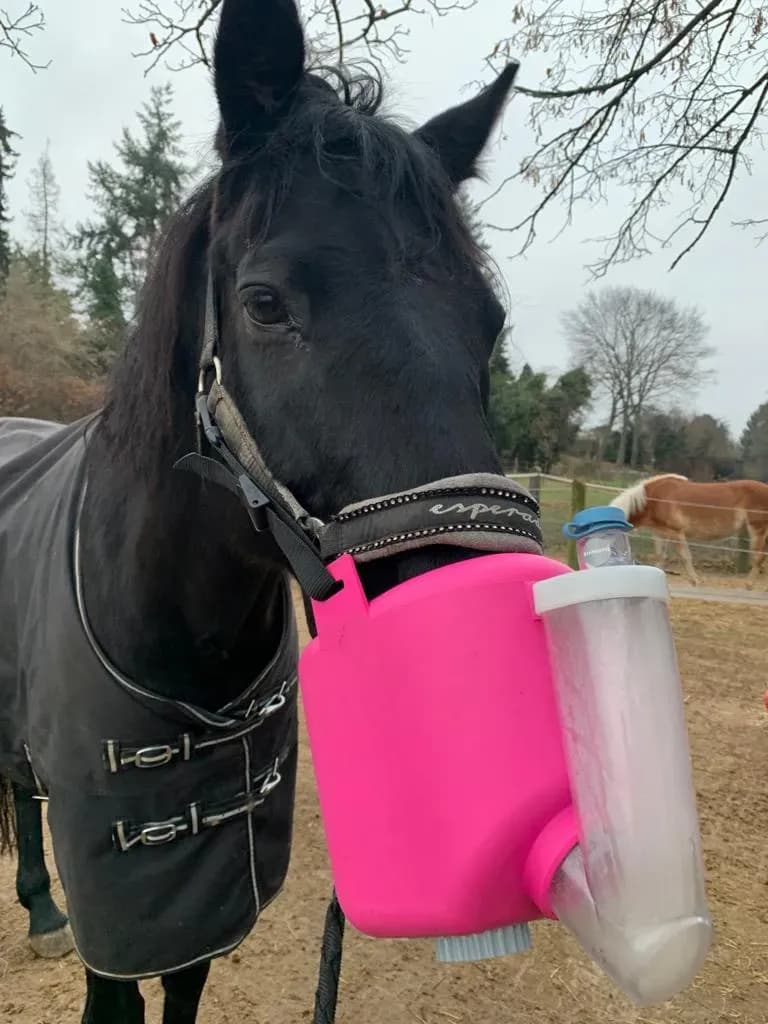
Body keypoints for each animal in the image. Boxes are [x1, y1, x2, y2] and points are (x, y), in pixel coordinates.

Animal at [610, 473, 768, 588]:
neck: (654, 499)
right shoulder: (660, 533)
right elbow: (660, 556)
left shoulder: (676, 533)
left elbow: (685, 557)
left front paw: (695, 580)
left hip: (758, 529)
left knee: (758, 556)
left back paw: (749, 584)